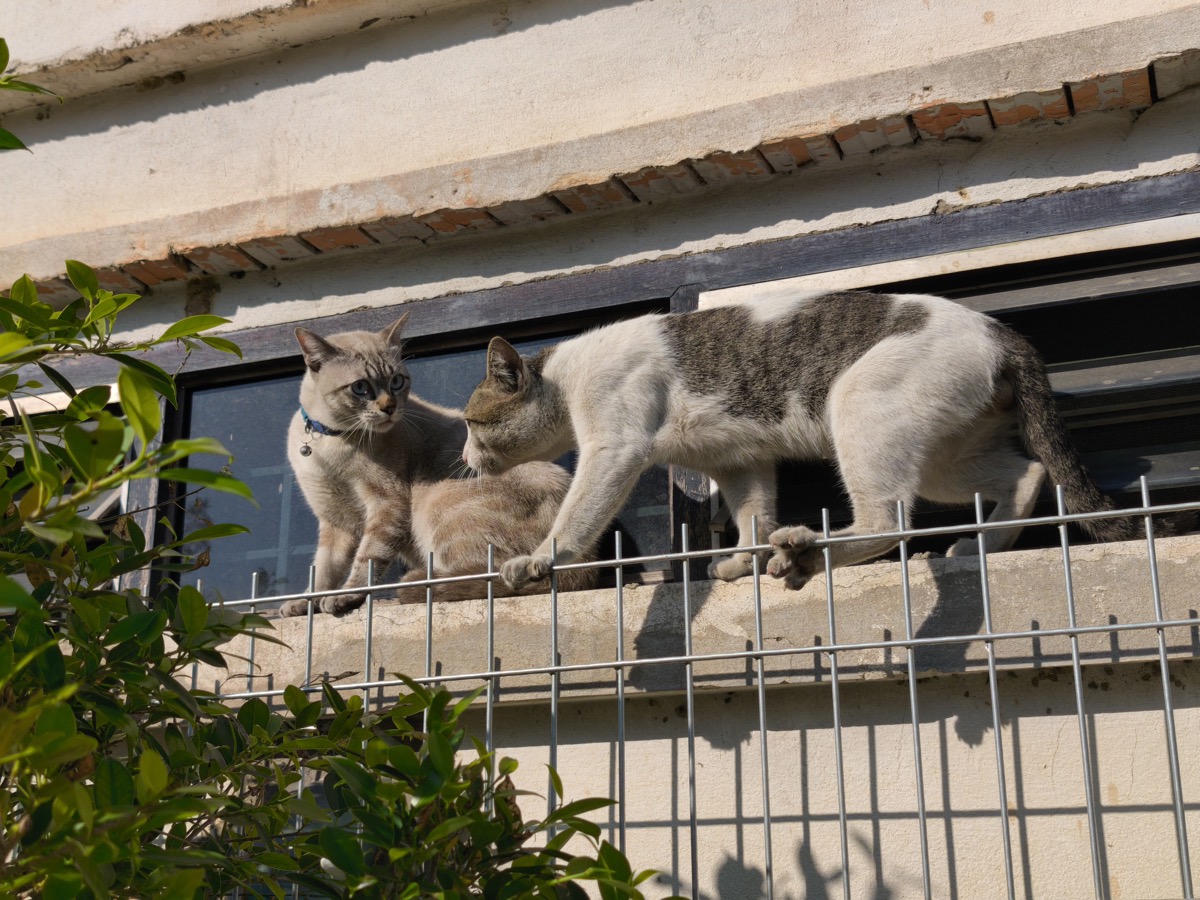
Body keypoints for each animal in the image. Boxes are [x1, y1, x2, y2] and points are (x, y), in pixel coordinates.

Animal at [279, 313, 595, 618]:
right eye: (360, 388)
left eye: (397, 382)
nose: (390, 408)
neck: (332, 440)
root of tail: (587, 563)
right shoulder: (335, 519)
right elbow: (324, 569)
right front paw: (303, 604)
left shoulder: (386, 503)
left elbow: (367, 559)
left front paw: (345, 596)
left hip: (435, 503)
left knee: (485, 575)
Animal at [461, 289, 1194, 592]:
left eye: (469, 421)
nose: (464, 458)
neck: (566, 376)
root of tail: (1004, 333)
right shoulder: (741, 461)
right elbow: (752, 515)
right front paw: (741, 562)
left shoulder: (613, 447)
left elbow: (577, 516)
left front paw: (539, 561)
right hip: (944, 454)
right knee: (1027, 475)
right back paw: (979, 547)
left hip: (861, 407)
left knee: (889, 522)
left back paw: (810, 551)